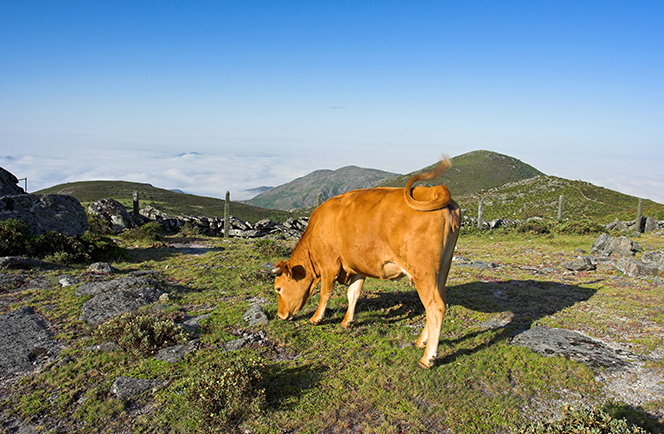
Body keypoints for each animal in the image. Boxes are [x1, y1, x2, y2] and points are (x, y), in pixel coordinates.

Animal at [272, 158, 460, 368]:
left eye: (278, 288)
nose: (280, 316)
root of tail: (436, 190)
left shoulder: (330, 265)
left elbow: (325, 294)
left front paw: (316, 318)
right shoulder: (356, 267)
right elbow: (353, 294)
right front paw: (347, 321)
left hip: (423, 271)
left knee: (435, 307)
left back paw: (428, 358)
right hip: (442, 270)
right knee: (440, 302)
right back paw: (421, 342)